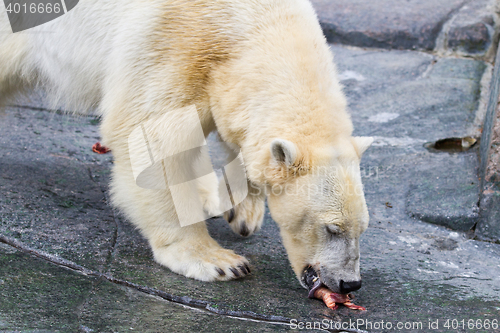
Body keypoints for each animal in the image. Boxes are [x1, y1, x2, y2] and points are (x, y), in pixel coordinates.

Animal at [0, 0, 372, 290]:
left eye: (363, 228)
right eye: (332, 228)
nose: (350, 283)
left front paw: (242, 211)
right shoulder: (174, 43)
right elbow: (153, 138)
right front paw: (219, 260)